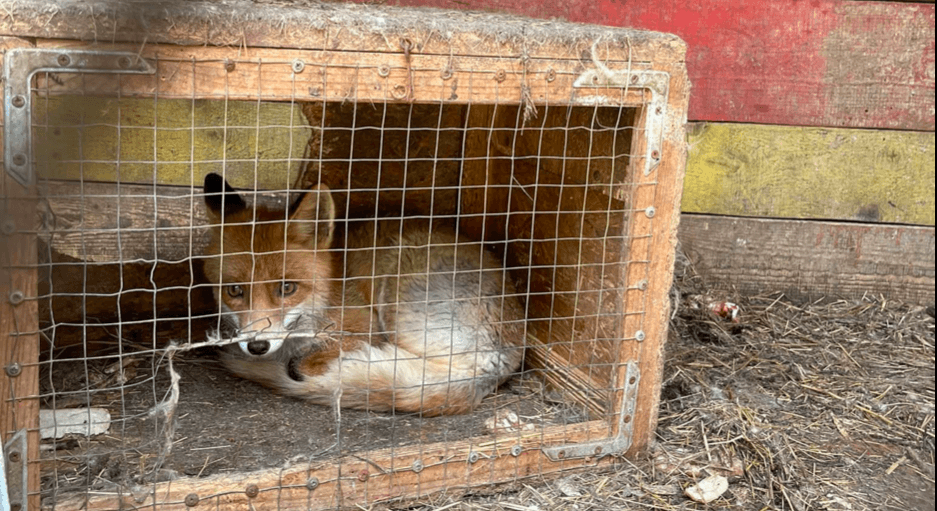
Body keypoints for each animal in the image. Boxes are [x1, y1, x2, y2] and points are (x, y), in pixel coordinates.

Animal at [203, 174, 528, 418]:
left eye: (287, 288)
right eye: (234, 290)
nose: (257, 346)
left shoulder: (365, 329)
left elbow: (302, 364)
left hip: (396, 296)